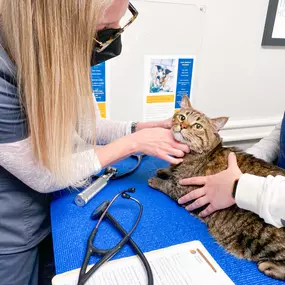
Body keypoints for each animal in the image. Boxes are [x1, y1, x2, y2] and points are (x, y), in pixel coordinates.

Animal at [148, 95, 284, 280]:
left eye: (197, 126)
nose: (183, 126)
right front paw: (164, 170)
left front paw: (156, 179)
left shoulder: (182, 190)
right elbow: (170, 171)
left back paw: (269, 267)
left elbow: (168, 184)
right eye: (182, 117)